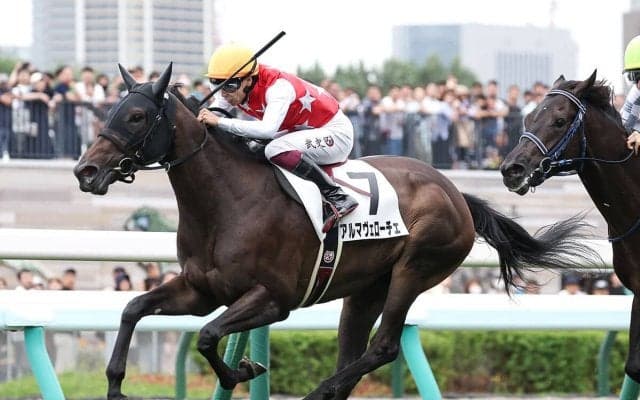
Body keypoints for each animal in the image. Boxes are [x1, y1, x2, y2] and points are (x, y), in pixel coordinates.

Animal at [73, 63, 599, 400]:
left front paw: (241, 371)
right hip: (365, 288)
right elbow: (134, 309)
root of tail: (455, 192)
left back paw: (318, 392)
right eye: (109, 111)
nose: (85, 171)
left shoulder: (273, 298)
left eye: (137, 116)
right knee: (352, 353)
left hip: (415, 268)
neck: (226, 202)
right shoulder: (200, 289)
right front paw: (116, 385)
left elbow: (205, 336)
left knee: (382, 347)